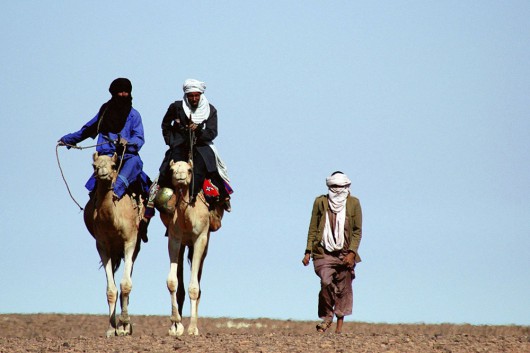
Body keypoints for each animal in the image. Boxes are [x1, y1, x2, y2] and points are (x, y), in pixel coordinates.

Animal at [81, 151, 142, 336]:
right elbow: (111, 289)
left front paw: (125, 324)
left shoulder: (130, 241)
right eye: (94, 165)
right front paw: (111, 329)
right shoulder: (102, 245)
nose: (103, 173)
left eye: (114, 165)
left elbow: (126, 284)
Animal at [158, 160, 222, 336]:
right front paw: (175, 324)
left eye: (189, 170)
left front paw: (192, 329)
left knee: (198, 281)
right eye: (172, 170)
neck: (186, 217)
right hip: (182, 246)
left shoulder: (200, 238)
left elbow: (194, 287)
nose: (180, 176)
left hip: (204, 244)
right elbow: (172, 282)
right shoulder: (174, 238)